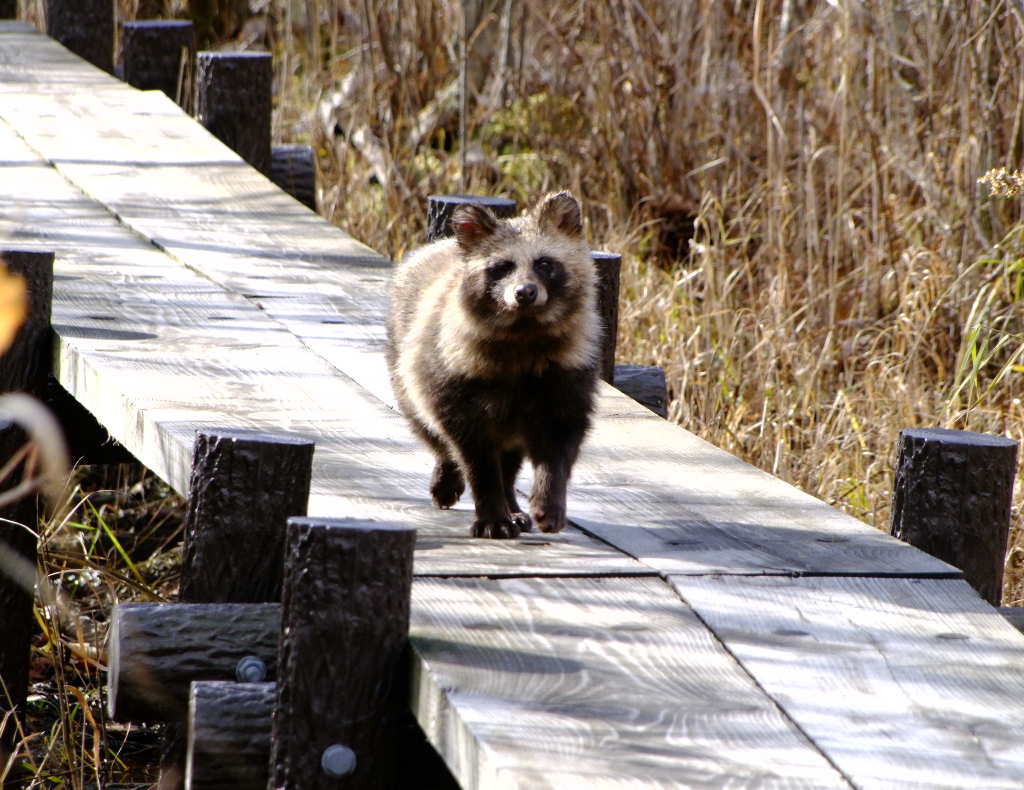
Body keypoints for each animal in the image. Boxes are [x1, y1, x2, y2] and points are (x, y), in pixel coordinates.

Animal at [389, 191, 598, 536]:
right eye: (501, 267)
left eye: (544, 263)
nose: (524, 293)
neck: (523, 329)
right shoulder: (454, 374)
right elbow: (476, 455)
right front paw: (491, 512)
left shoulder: (567, 372)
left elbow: (559, 443)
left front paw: (548, 500)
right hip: (405, 361)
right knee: (428, 426)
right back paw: (448, 476)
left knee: (510, 457)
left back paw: (512, 502)